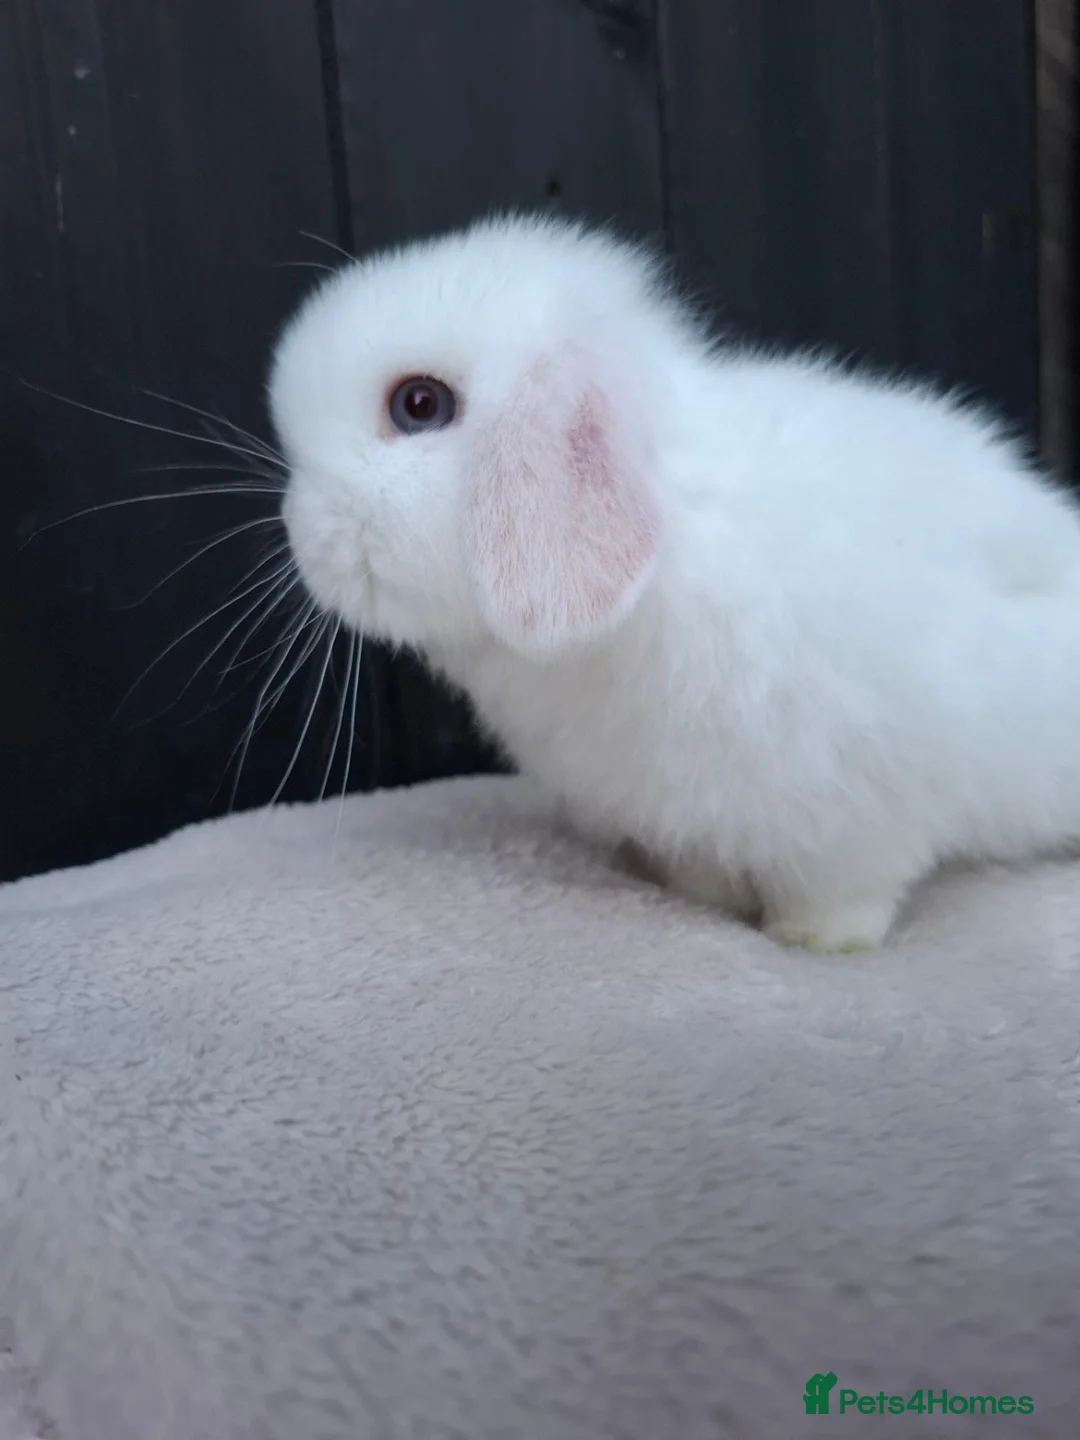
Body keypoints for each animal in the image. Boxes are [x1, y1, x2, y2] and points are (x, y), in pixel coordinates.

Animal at [268, 212, 1080, 953]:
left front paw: (810, 943)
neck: (672, 545)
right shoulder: (694, 820)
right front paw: (705, 909)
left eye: (419, 404)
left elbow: (842, 898)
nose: (300, 532)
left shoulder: (854, 819)